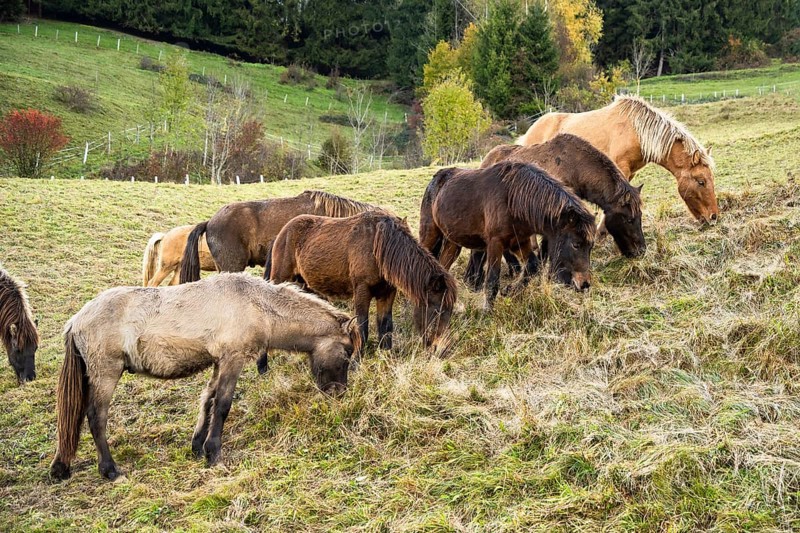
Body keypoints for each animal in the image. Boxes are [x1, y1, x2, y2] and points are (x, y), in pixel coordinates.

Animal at [49, 273, 361, 481]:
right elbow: (223, 405)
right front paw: (214, 453)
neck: (255, 304)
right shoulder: (233, 360)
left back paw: (61, 467)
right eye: (347, 351)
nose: (339, 393)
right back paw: (110, 470)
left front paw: (198, 447)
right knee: (95, 417)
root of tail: (77, 319)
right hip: (106, 374)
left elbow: (208, 401)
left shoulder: (219, 363)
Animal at [266, 211, 457, 354]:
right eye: (438, 310)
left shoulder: (387, 294)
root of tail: (282, 233)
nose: (441, 350)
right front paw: (357, 361)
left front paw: (386, 355)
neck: (378, 246)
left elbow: (385, 326)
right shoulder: (362, 291)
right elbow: (362, 327)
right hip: (280, 279)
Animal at [419, 162, 596, 310]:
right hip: (430, 234)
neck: (513, 198)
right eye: (576, 244)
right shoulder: (495, 243)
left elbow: (533, 266)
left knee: (443, 266)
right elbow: (492, 281)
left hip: (452, 243)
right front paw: (486, 312)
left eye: (590, 247)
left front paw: (510, 290)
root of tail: (436, 179)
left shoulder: (519, 242)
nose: (584, 284)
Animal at [465, 133, 646, 290]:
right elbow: (548, 249)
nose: (641, 251)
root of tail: (487, 160)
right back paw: (475, 280)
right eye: (629, 219)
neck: (574, 166)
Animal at [516, 95, 718, 225]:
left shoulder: (629, 173)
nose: (714, 217)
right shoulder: (619, 169)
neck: (636, 130)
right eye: (701, 181)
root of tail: (527, 134)